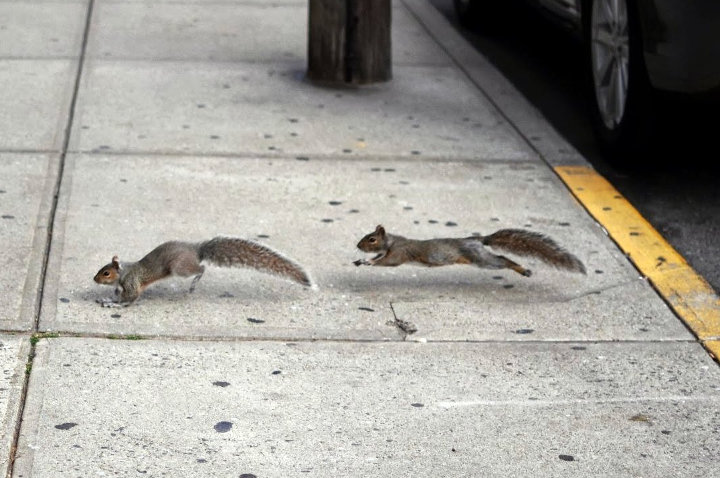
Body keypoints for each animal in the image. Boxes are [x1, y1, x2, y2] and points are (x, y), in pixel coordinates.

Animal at [93, 235, 312, 306]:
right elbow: (118, 295)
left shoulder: (132, 282)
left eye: (106, 273)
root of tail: (196, 250)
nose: (94, 279)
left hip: (179, 267)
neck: (123, 273)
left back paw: (194, 282)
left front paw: (114, 305)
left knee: (202, 268)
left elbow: (130, 298)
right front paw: (107, 298)